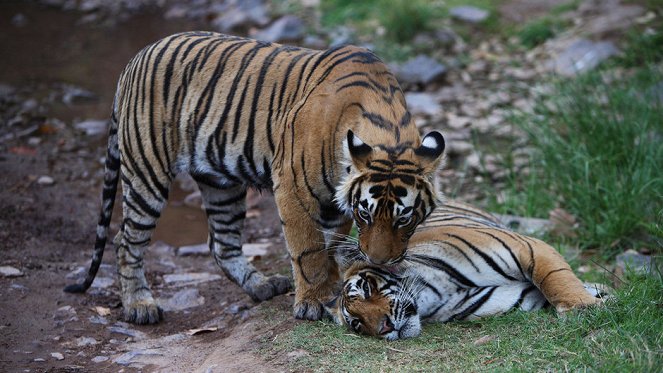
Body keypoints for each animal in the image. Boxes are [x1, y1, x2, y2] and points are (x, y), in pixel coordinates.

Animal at [65, 32, 444, 322]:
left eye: (404, 219)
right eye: (365, 213)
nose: (380, 262)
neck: (387, 129)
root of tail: (134, 61)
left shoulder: (334, 202)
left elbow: (331, 241)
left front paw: (332, 284)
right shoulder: (292, 187)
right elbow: (308, 249)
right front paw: (312, 302)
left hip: (221, 184)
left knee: (222, 243)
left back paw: (260, 286)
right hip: (147, 172)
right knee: (125, 241)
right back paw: (139, 306)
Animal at [326, 201, 608, 340]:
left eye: (366, 288)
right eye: (357, 323)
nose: (384, 328)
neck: (434, 293)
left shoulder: (527, 247)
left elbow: (555, 279)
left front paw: (584, 307)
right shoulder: (520, 297)